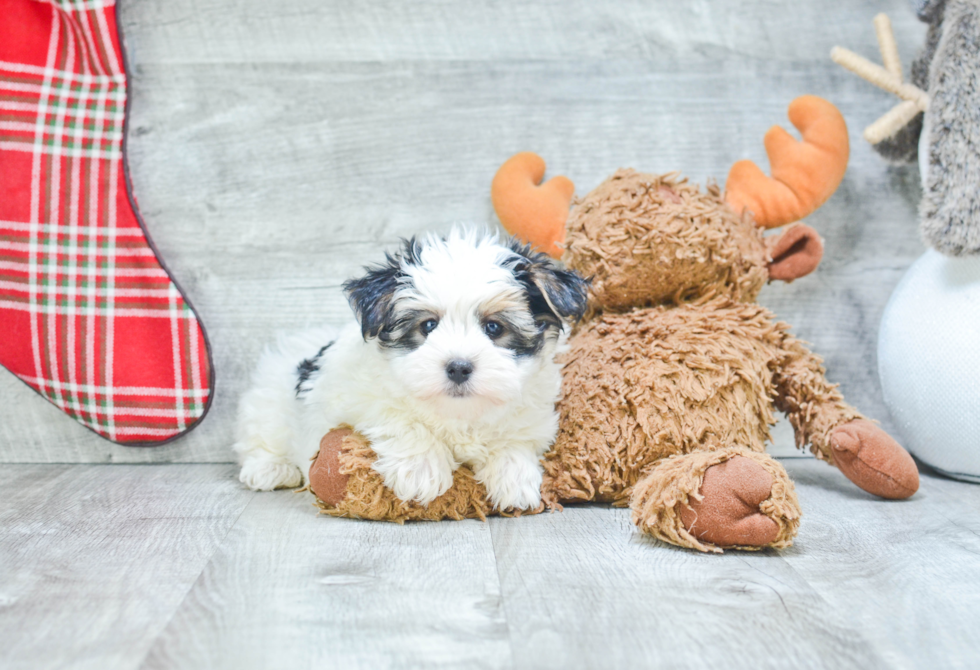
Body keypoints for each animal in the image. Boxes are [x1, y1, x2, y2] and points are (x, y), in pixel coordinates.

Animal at [234, 228, 584, 512]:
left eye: (494, 327)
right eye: (427, 326)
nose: (458, 367)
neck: (458, 413)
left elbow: (517, 438)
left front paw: (514, 477)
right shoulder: (354, 394)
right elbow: (399, 416)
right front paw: (421, 468)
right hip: (269, 402)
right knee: (262, 437)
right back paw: (269, 469)